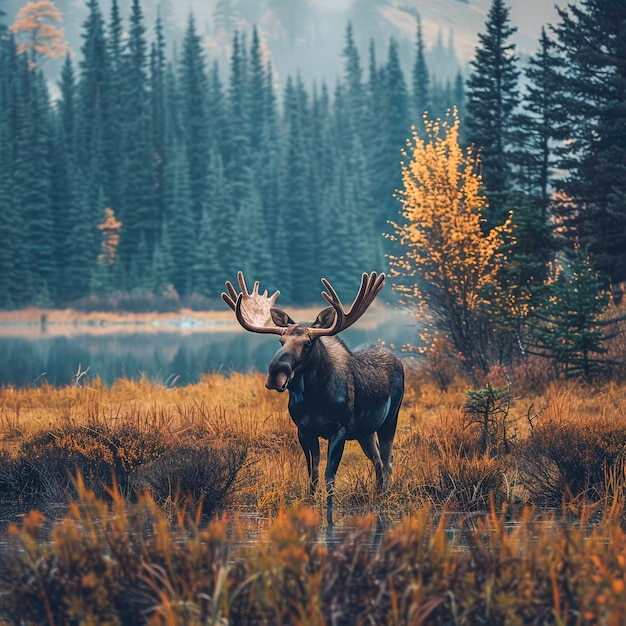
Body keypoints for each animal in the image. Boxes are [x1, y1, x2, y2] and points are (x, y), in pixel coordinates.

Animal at [222, 270, 402, 524]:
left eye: (307, 343)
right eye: (280, 340)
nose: (276, 373)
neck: (314, 400)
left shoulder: (339, 429)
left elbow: (329, 477)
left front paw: (329, 515)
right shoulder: (304, 430)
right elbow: (313, 475)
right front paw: (310, 506)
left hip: (391, 418)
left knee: (388, 459)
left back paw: (385, 497)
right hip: (364, 430)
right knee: (377, 459)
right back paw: (377, 494)